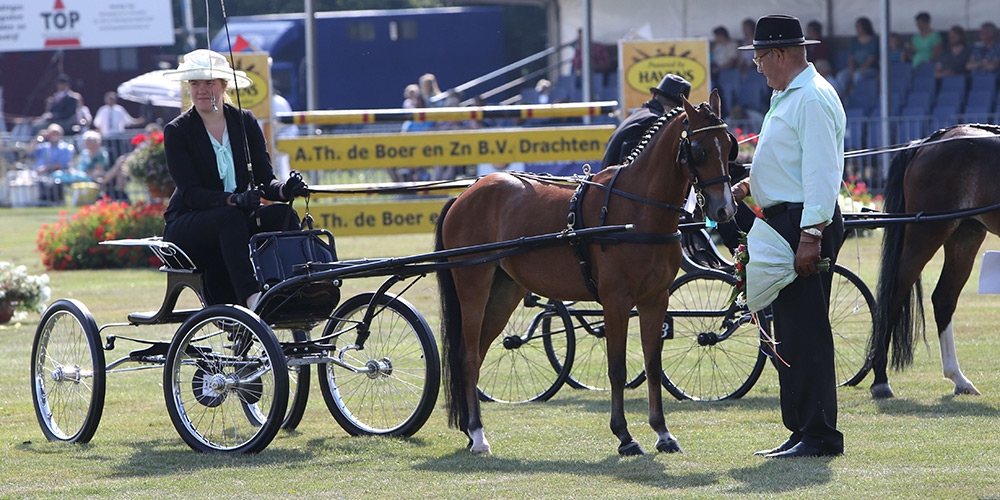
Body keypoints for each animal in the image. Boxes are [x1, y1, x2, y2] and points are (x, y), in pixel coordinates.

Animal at [434, 91, 740, 458]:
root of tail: (466, 193)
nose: (725, 209)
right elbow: (617, 367)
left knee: (477, 354)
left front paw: (662, 432)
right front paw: (624, 435)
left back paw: (471, 430)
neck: (637, 209)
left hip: (504, 290)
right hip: (473, 286)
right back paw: (478, 435)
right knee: (467, 357)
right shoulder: (616, 301)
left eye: (729, 145)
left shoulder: (656, 299)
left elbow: (652, 364)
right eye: (699, 150)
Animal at [868, 124, 1000, 398]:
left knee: (944, 298)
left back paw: (958, 378)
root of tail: (928, 142)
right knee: (894, 297)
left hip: (965, 235)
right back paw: (881, 380)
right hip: (924, 236)